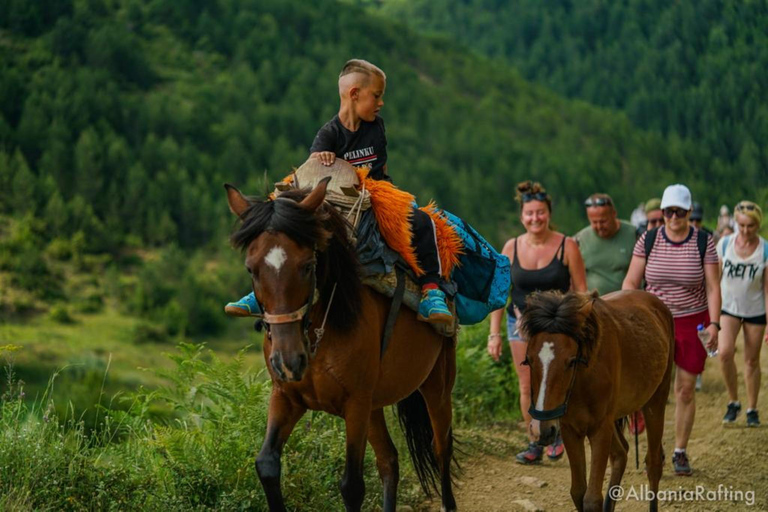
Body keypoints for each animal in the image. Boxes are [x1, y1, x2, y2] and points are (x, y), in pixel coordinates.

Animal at [225, 179, 460, 512]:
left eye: (308, 265)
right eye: (251, 269)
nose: (288, 362)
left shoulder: (355, 404)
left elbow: (352, 486)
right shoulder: (286, 396)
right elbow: (267, 464)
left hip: (436, 386)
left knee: (441, 448)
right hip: (374, 406)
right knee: (389, 460)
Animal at [520, 290, 676, 512]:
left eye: (571, 361)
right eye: (529, 360)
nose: (542, 429)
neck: (583, 378)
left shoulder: (600, 429)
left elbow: (592, 498)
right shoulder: (570, 430)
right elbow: (578, 492)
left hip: (656, 400)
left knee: (653, 463)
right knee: (621, 453)